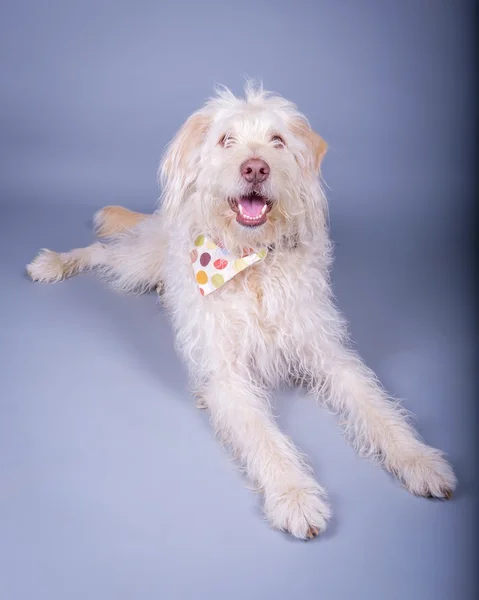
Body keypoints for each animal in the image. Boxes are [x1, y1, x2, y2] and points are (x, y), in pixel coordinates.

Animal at [26, 83, 458, 540]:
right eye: (226, 140)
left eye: (278, 141)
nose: (255, 169)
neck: (251, 262)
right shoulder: (227, 376)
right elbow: (264, 437)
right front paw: (295, 495)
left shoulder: (328, 355)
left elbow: (376, 406)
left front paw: (419, 460)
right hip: (139, 261)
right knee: (101, 253)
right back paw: (54, 262)